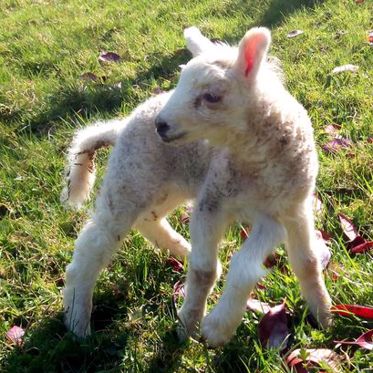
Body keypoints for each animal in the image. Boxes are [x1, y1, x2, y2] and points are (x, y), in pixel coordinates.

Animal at [61, 26, 332, 346]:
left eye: (211, 96)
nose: (161, 125)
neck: (257, 160)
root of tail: (121, 126)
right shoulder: (213, 202)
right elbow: (205, 271)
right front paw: (197, 327)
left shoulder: (290, 208)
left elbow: (305, 263)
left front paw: (324, 314)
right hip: (130, 180)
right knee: (94, 245)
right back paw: (78, 321)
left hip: (163, 184)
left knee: (147, 219)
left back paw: (181, 248)